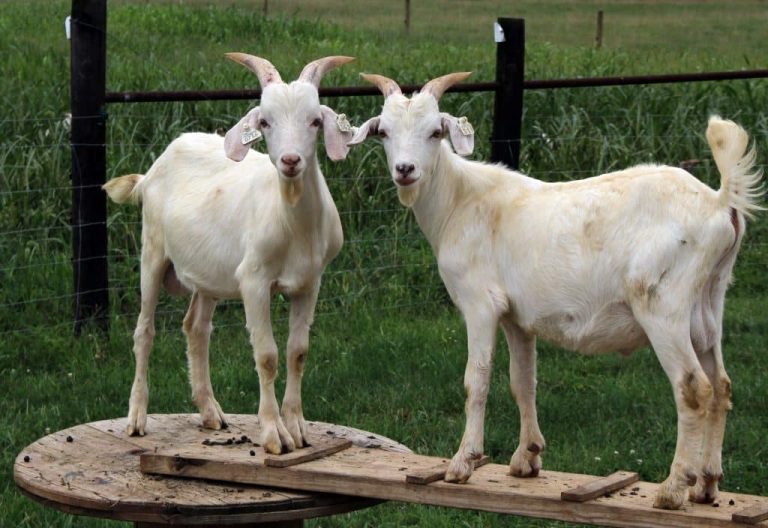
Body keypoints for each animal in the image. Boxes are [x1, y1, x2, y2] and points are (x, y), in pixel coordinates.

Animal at [103, 54, 355, 454]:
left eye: (315, 120)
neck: (292, 221)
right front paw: (274, 434)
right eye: (265, 122)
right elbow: (267, 356)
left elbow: (297, 352)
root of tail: (151, 171)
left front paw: (298, 428)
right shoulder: (254, 280)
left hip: (210, 274)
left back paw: (210, 412)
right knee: (145, 331)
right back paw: (137, 418)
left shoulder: (310, 283)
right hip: (152, 252)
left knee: (195, 327)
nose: (290, 160)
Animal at [348, 71, 763, 509]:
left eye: (434, 132)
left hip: (663, 305)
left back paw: (673, 488)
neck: (461, 202)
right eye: (384, 132)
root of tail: (720, 203)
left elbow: (476, 379)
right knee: (721, 385)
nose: (405, 170)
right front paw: (526, 458)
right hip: (708, 303)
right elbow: (522, 381)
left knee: (694, 388)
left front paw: (462, 462)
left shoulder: (480, 304)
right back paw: (706, 484)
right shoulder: (517, 317)